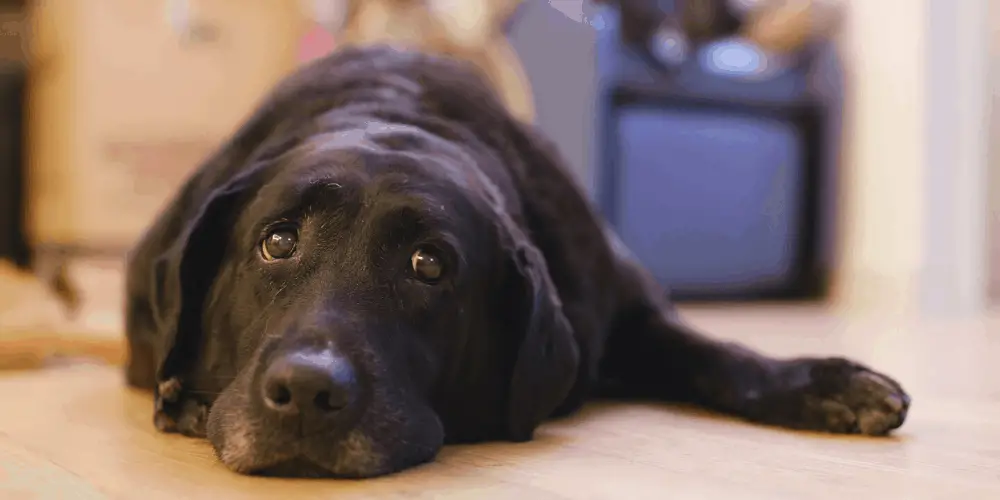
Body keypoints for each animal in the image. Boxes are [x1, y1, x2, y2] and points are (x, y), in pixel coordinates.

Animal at [121, 45, 912, 478]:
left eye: (429, 265)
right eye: (278, 241)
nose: (309, 390)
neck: (393, 112)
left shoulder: (622, 302)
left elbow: (718, 355)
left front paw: (825, 383)